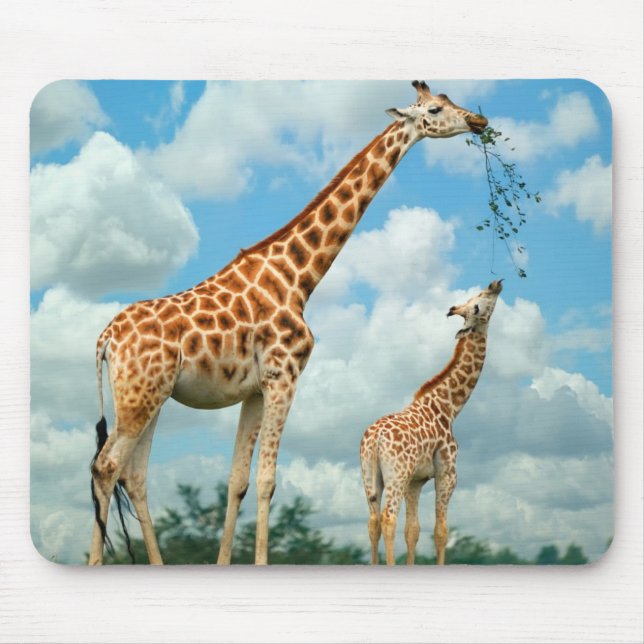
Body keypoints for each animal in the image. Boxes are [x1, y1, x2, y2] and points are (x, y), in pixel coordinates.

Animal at [88, 81, 488, 566]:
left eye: (449, 101)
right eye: (434, 110)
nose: (479, 121)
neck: (300, 277)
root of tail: (105, 339)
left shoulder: (255, 390)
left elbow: (238, 481)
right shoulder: (284, 376)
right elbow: (267, 480)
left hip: (150, 397)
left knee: (133, 475)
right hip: (139, 397)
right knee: (106, 466)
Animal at [360, 279, 503, 566]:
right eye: (477, 304)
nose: (495, 284)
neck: (449, 407)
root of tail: (375, 440)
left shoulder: (416, 480)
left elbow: (413, 530)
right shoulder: (447, 473)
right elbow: (441, 531)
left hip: (370, 477)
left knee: (373, 522)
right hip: (396, 475)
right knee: (388, 519)